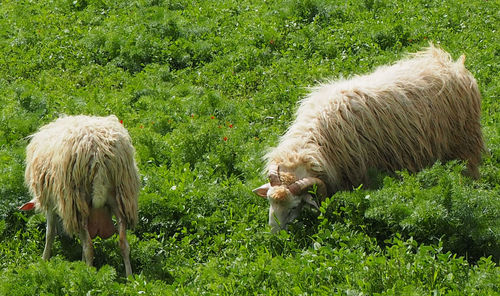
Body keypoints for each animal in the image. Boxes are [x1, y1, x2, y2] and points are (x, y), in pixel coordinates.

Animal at [19, 114, 140, 276]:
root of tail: (97, 155)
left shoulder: (50, 204)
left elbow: (49, 233)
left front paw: (44, 260)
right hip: (120, 197)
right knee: (123, 244)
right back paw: (130, 277)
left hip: (76, 201)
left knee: (89, 247)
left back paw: (88, 275)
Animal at [254, 45, 484, 232]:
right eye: (269, 202)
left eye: (293, 207)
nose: (274, 235)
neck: (315, 141)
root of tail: (450, 64)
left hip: (465, 143)